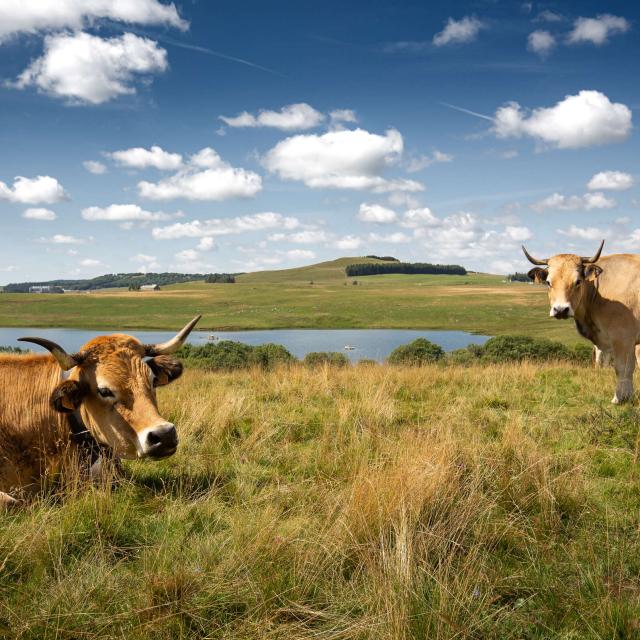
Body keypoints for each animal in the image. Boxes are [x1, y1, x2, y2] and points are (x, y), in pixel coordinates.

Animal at [523, 240, 640, 404]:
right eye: (548, 282)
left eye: (577, 281)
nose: (560, 309)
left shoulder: (623, 337)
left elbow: (623, 368)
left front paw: (620, 398)